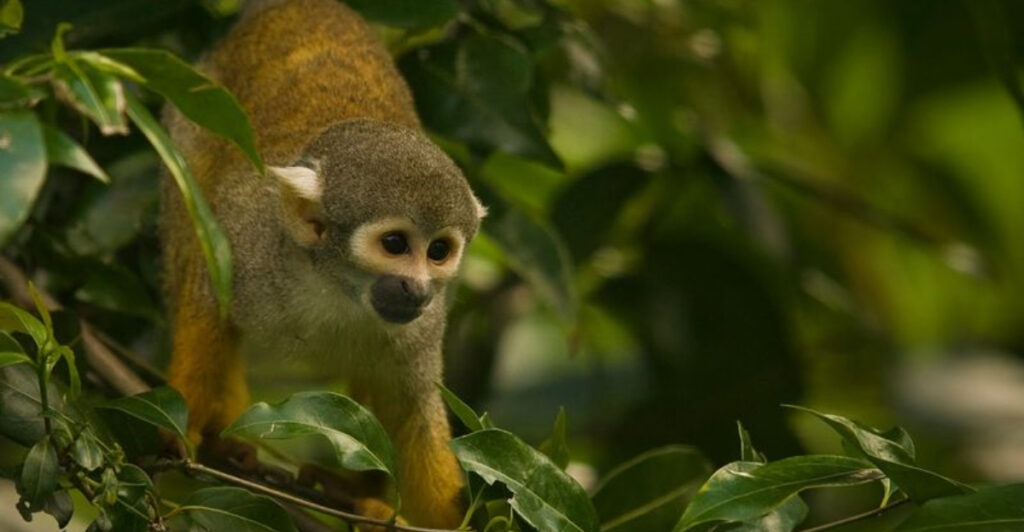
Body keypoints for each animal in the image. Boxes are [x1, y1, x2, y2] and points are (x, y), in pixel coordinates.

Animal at [159, 0, 484, 526]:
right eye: (395, 243)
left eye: (438, 251)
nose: (416, 287)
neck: (337, 287)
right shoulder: (251, 242)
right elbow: (209, 295)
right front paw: (179, 426)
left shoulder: (424, 322)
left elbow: (409, 406)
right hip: (189, 114)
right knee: (190, 216)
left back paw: (356, 491)